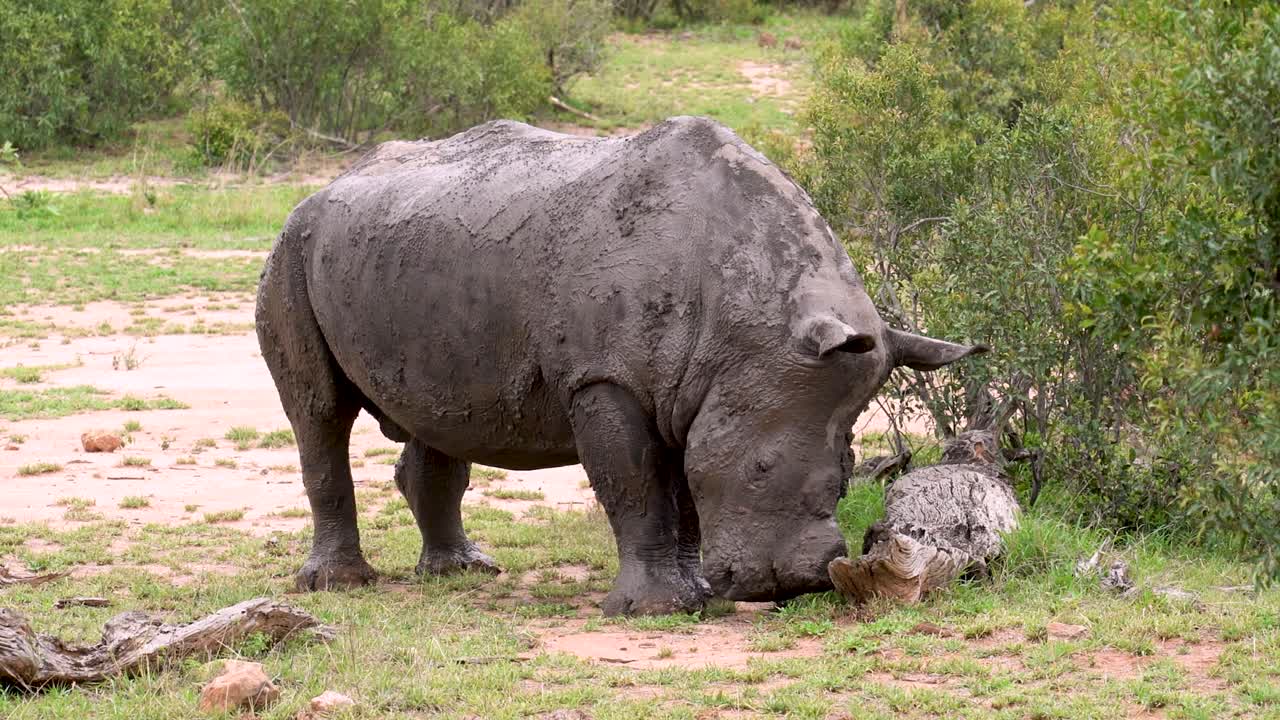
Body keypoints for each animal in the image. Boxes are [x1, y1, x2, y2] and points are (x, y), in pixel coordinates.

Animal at [256, 117, 985, 616]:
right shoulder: (604, 377)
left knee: (435, 414)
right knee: (319, 412)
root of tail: (321, 188)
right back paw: (338, 585)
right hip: (290, 251)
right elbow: (635, 484)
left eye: (844, 475)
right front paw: (655, 610)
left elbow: (685, 487)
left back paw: (462, 572)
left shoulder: (698, 384)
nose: (796, 584)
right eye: (761, 468)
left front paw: (696, 593)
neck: (747, 322)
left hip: (406, 259)